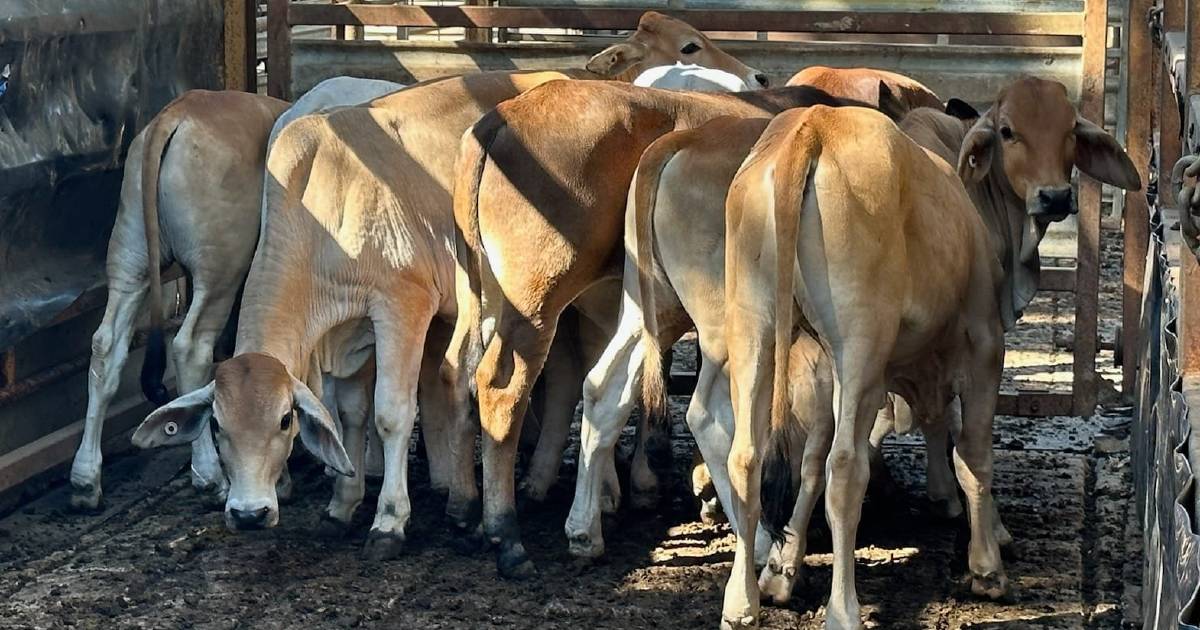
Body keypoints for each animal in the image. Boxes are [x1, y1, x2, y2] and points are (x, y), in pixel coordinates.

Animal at [451, 77, 902, 573]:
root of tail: (501, 116)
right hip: (536, 301)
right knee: (501, 388)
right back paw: (505, 530)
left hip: (506, 297)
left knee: (475, 373)